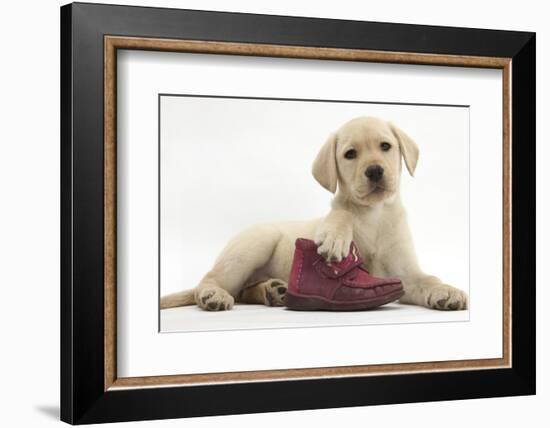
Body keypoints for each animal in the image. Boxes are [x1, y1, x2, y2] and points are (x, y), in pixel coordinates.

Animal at [161, 116, 470, 310]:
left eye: (386, 146)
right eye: (350, 154)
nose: (374, 171)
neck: (374, 214)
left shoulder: (405, 273)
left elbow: (427, 279)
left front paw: (446, 290)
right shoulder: (341, 213)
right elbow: (341, 212)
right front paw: (336, 238)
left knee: (242, 292)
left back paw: (274, 291)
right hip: (253, 244)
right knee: (213, 281)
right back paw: (214, 295)